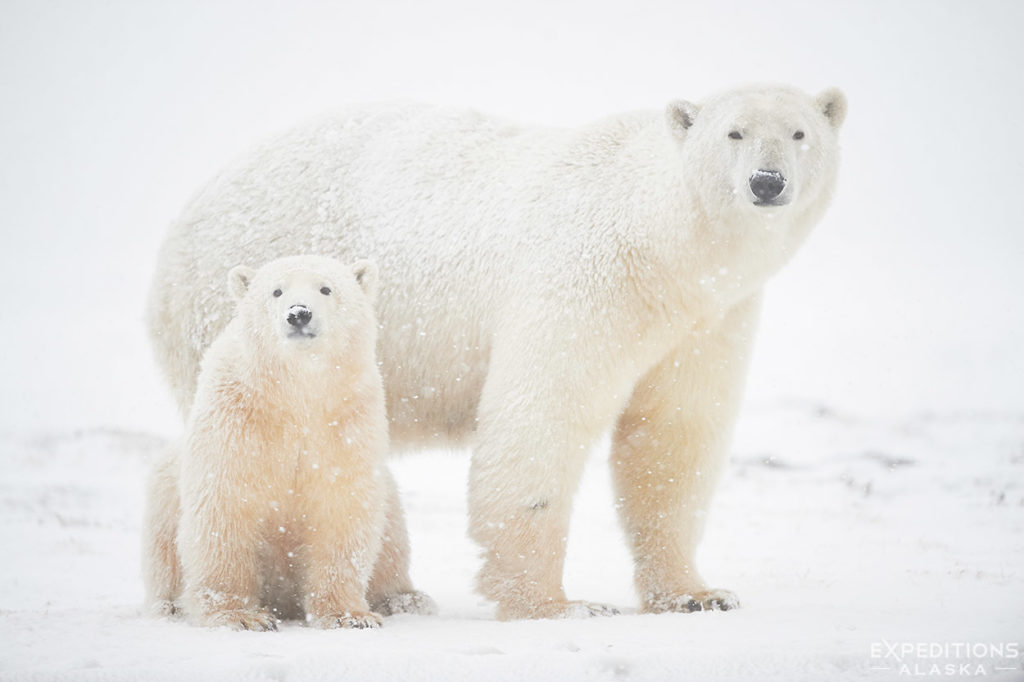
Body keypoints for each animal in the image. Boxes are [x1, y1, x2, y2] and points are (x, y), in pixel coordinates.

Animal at [148, 84, 843, 614]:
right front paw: (556, 604)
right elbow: (541, 418)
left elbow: (674, 438)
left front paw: (697, 594)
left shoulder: (707, 319)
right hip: (235, 313)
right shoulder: (584, 281)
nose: (767, 182)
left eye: (799, 132)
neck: (661, 245)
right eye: (734, 133)